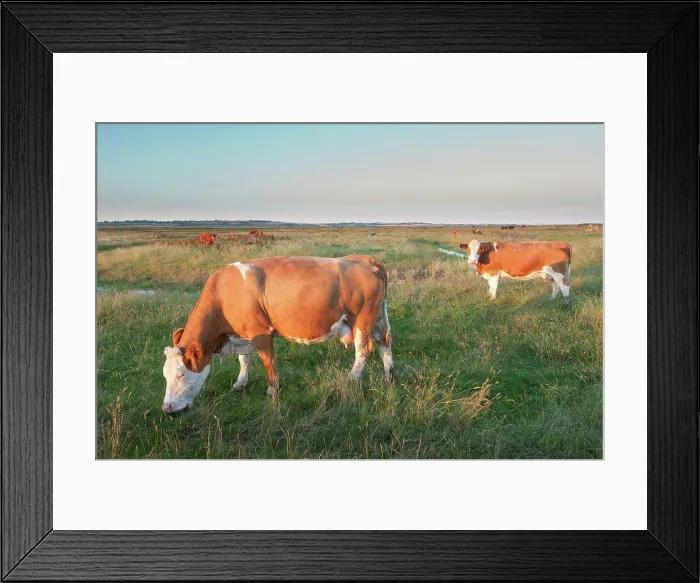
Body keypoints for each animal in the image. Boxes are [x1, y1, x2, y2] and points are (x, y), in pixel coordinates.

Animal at [162, 255, 394, 413]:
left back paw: (352, 379)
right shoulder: (244, 334)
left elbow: (268, 361)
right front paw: (240, 382)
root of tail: (367, 259)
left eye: (181, 374)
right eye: (165, 374)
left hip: (362, 320)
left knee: (363, 350)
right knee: (384, 341)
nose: (167, 408)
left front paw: (272, 391)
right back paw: (389, 375)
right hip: (377, 318)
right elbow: (244, 359)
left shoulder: (260, 332)